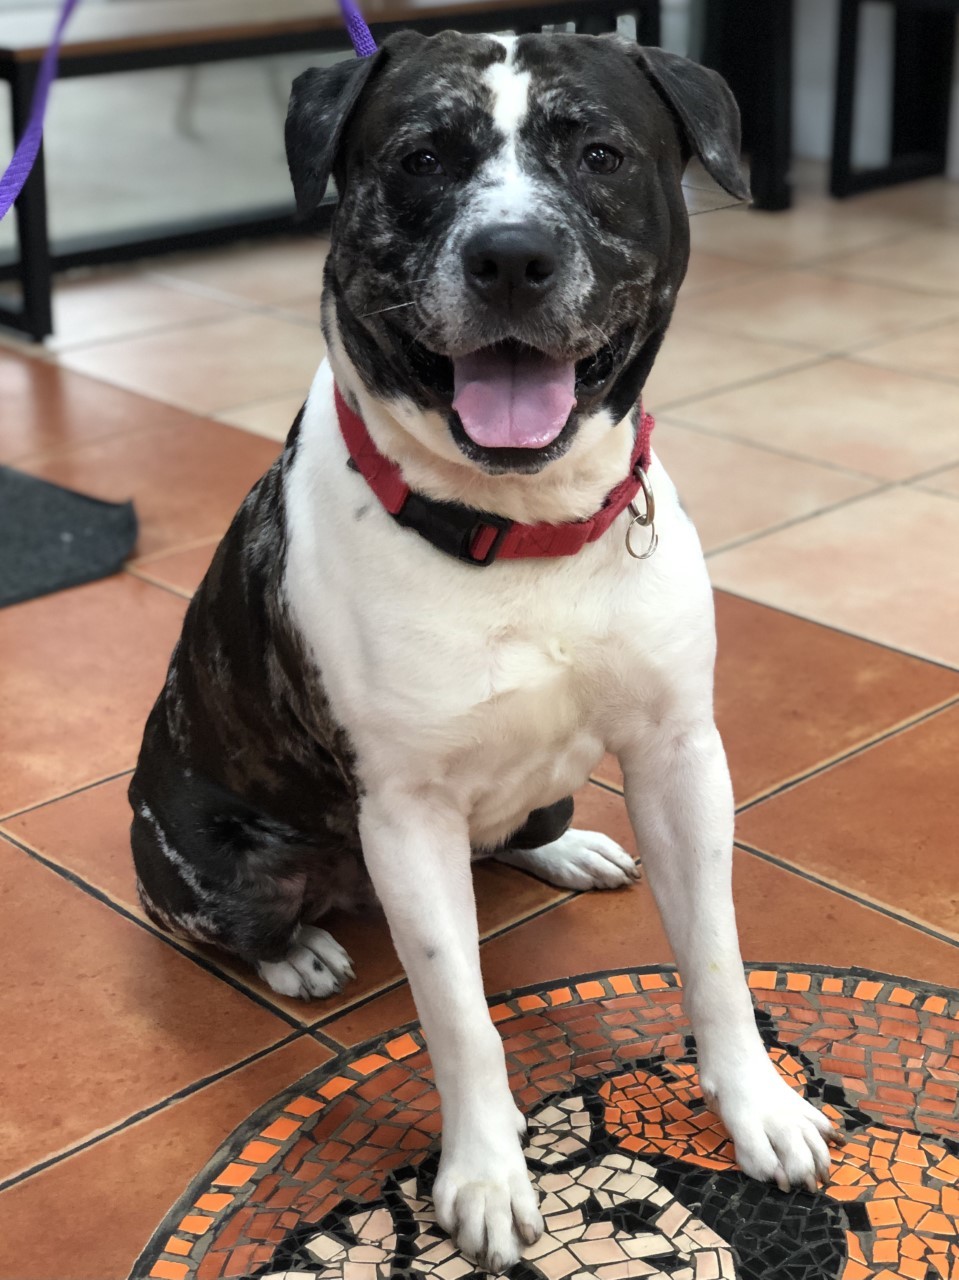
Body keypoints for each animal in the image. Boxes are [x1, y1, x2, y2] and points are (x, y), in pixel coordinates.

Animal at [129, 30, 839, 1269]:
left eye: (599, 154)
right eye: (421, 158)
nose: (512, 255)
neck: (521, 527)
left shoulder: (680, 755)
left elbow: (713, 952)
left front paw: (755, 1102)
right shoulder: (405, 816)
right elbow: (460, 1015)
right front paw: (486, 1176)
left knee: (521, 829)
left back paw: (565, 849)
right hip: (225, 865)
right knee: (232, 919)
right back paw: (297, 950)